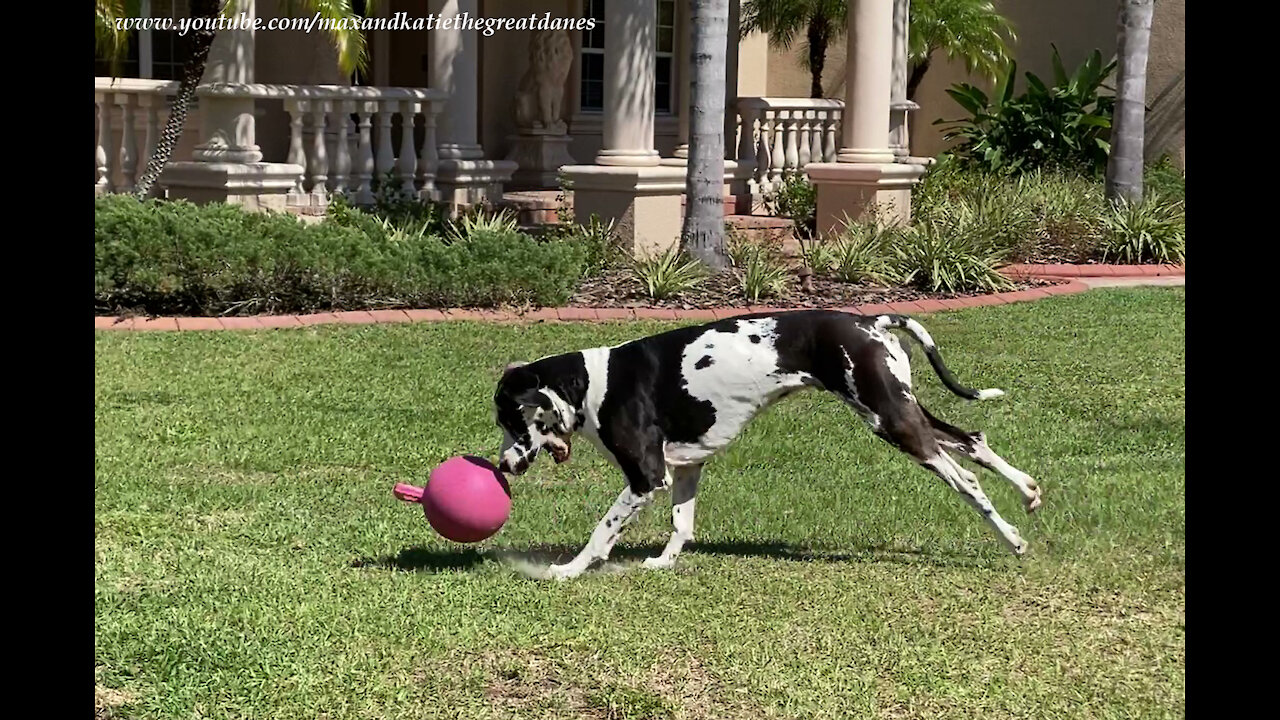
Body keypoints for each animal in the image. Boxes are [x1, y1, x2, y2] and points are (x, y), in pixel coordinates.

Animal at [488, 308, 1039, 576]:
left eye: (509, 420)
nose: (503, 467)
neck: (595, 382)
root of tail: (872, 320)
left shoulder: (646, 478)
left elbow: (601, 532)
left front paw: (569, 570)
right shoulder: (685, 469)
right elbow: (682, 526)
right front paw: (664, 564)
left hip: (892, 422)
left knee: (966, 478)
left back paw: (1013, 539)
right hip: (901, 410)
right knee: (972, 439)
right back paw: (1029, 491)